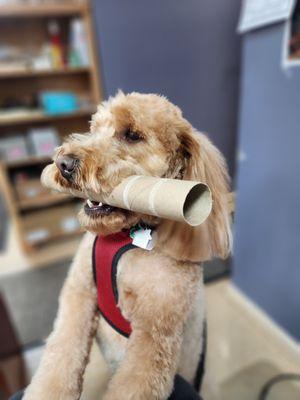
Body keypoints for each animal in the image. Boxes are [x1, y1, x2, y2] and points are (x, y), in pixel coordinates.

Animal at [23, 92, 231, 400]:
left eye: (132, 135)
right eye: (94, 128)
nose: (64, 163)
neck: (126, 237)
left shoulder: (155, 335)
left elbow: (133, 382)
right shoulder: (79, 293)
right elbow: (61, 355)